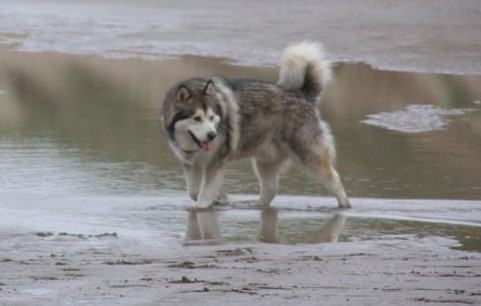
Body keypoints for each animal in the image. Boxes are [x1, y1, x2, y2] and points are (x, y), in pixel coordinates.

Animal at [160, 41, 348, 208]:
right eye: (197, 118)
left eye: (212, 117)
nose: (212, 135)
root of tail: (302, 94)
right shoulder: (191, 165)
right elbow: (193, 191)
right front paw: (220, 198)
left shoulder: (215, 164)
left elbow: (202, 197)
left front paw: (210, 202)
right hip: (265, 162)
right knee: (270, 190)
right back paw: (257, 207)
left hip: (310, 157)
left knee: (335, 180)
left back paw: (345, 206)